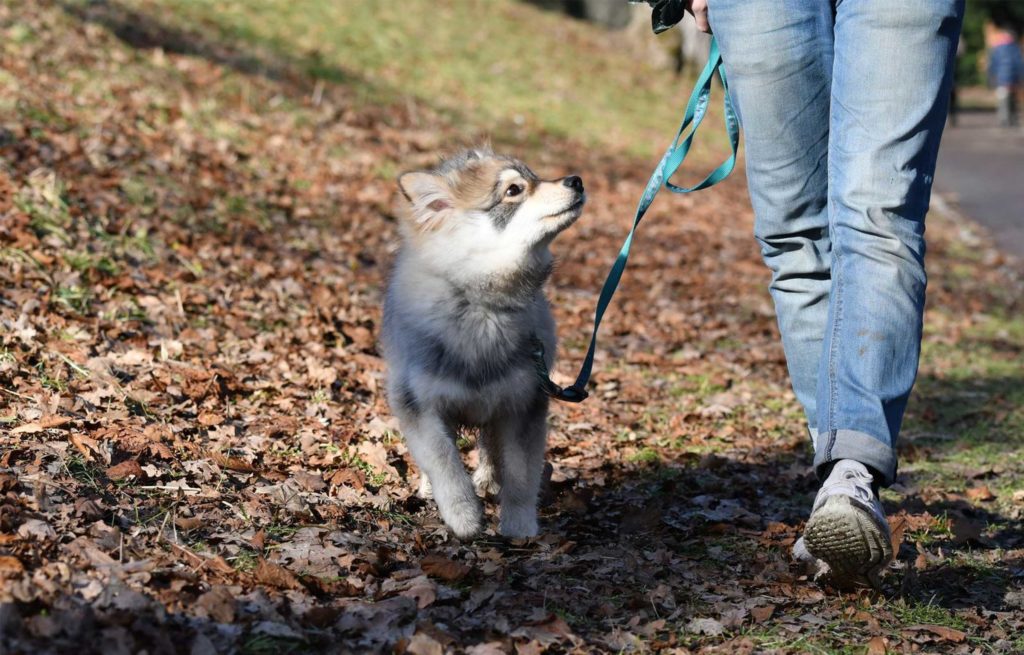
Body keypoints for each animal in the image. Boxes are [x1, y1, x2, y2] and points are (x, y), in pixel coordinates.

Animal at [380, 148, 585, 536]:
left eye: (534, 177)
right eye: (514, 190)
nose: (577, 180)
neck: (481, 304)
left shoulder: (523, 403)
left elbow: (520, 473)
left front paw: (519, 525)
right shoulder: (419, 404)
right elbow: (444, 461)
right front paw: (464, 517)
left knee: (491, 448)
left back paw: (489, 481)